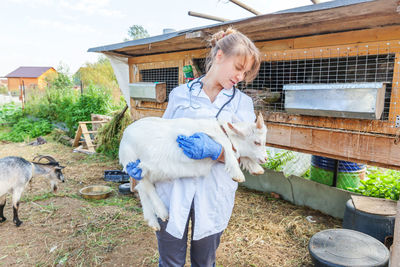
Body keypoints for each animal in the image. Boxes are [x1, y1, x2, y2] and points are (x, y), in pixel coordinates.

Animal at [119, 113, 268, 230]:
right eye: (257, 142)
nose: (265, 159)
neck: (222, 131)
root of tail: (125, 135)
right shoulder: (212, 136)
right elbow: (227, 147)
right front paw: (237, 174)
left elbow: (241, 155)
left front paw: (256, 168)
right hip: (134, 161)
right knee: (145, 184)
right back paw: (162, 212)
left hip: (153, 171)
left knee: (142, 187)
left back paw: (152, 221)